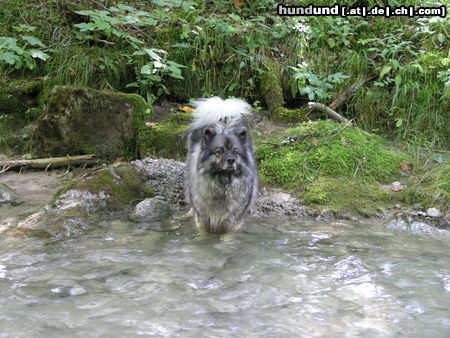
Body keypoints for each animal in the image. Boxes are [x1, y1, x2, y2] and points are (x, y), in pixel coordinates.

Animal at [185, 96, 258, 234]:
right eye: (220, 151)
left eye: (236, 152)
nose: (231, 160)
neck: (222, 184)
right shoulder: (203, 220)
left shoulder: (232, 222)